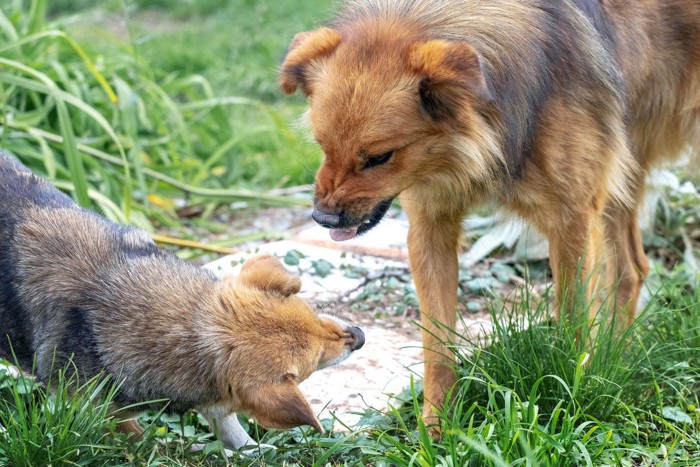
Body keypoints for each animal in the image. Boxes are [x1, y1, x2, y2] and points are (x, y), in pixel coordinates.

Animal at [1, 152, 366, 452]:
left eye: (314, 312)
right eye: (314, 362)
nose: (360, 337)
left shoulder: (216, 394)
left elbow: (228, 424)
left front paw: (250, 450)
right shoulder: (97, 408)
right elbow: (137, 438)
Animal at [278, 0, 700, 426]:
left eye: (380, 157)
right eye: (322, 144)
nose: (324, 220)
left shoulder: (573, 221)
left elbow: (573, 320)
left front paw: (574, 399)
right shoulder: (430, 227)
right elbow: (436, 342)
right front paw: (436, 427)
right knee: (632, 269)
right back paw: (619, 358)